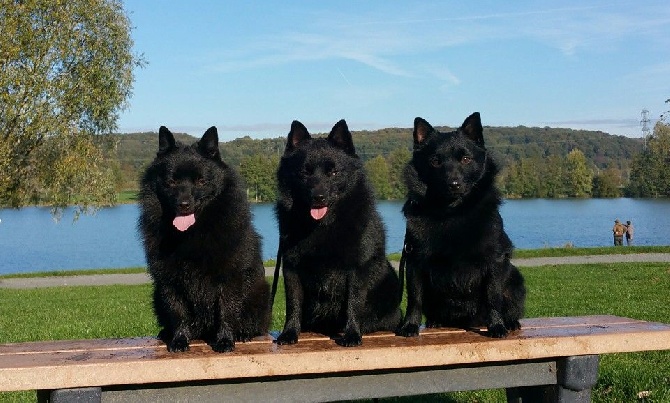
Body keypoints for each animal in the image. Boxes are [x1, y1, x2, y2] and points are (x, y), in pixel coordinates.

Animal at [274, 119, 402, 348]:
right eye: (305, 172)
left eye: (333, 173)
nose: (318, 197)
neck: (322, 226)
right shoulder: (291, 268)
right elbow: (293, 304)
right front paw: (289, 333)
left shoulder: (356, 269)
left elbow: (353, 303)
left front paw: (351, 335)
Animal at [400, 113, 524, 338]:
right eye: (435, 161)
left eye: (465, 159)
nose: (454, 184)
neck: (451, 213)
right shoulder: (415, 260)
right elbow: (415, 298)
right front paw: (410, 325)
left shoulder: (494, 261)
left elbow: (493, 296)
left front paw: (497, 326)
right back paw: (436, 322)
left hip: (515, 279)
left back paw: (510, 322)